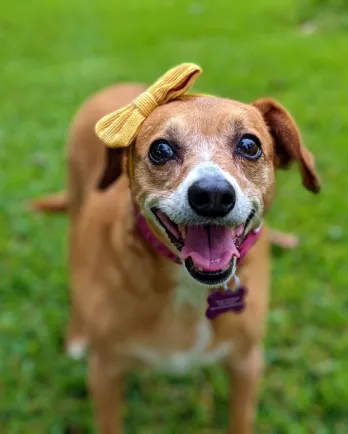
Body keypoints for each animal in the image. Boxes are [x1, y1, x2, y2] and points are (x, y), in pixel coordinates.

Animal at [33, 69, 320, 432]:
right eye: (161, 149)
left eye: (249, 145)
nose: (212, 195)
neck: (188, 287)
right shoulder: (106, 371)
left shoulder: (247, 364)